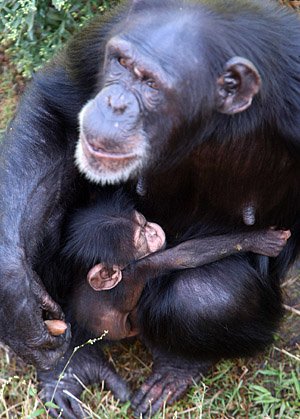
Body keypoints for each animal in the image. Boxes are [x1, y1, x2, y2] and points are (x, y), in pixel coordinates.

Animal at [62, 190, 290, 342]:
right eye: (141, 238)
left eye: (142, 222)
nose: (152, 230)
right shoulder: (137, 273)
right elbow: (185, 255)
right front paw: (259, 239)